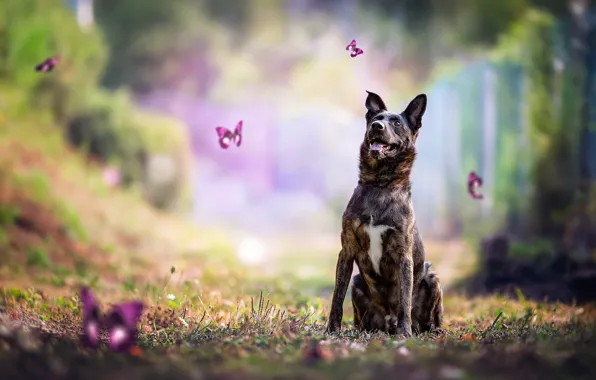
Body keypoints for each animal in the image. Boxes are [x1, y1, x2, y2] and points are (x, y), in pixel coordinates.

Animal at [326, 90, 442, 336]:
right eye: (376, 118)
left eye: (397, 123)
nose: (377, 126)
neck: (380, 185)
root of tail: (387, 323)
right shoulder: (346, 251)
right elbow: (337, 296)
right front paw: (332, 329)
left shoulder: (403, 256)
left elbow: (404, 300)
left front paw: (404, 333)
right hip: (357, 282)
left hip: (432, 278)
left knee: (432, 317)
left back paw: (431, 330)